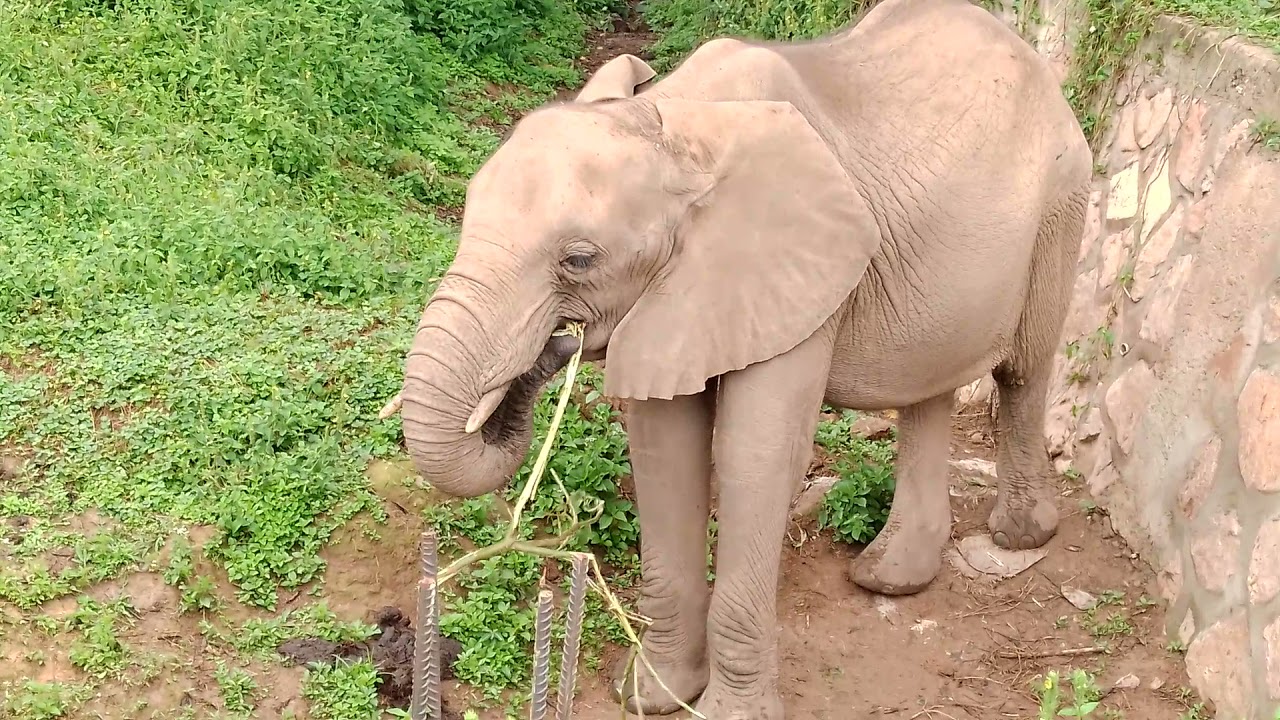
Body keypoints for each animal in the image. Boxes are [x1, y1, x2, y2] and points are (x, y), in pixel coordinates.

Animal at [395, 0, 1092, 716]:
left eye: (579, 259)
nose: (553, 344)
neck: (673, 124)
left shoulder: (795, 266)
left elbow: (754, 454)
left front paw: (723, 711)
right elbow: (665, 450)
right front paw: (651, 694)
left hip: (1061, 198)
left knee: (1022, 369)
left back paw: (1018, 535)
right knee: (927, 387)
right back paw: (889, 578)